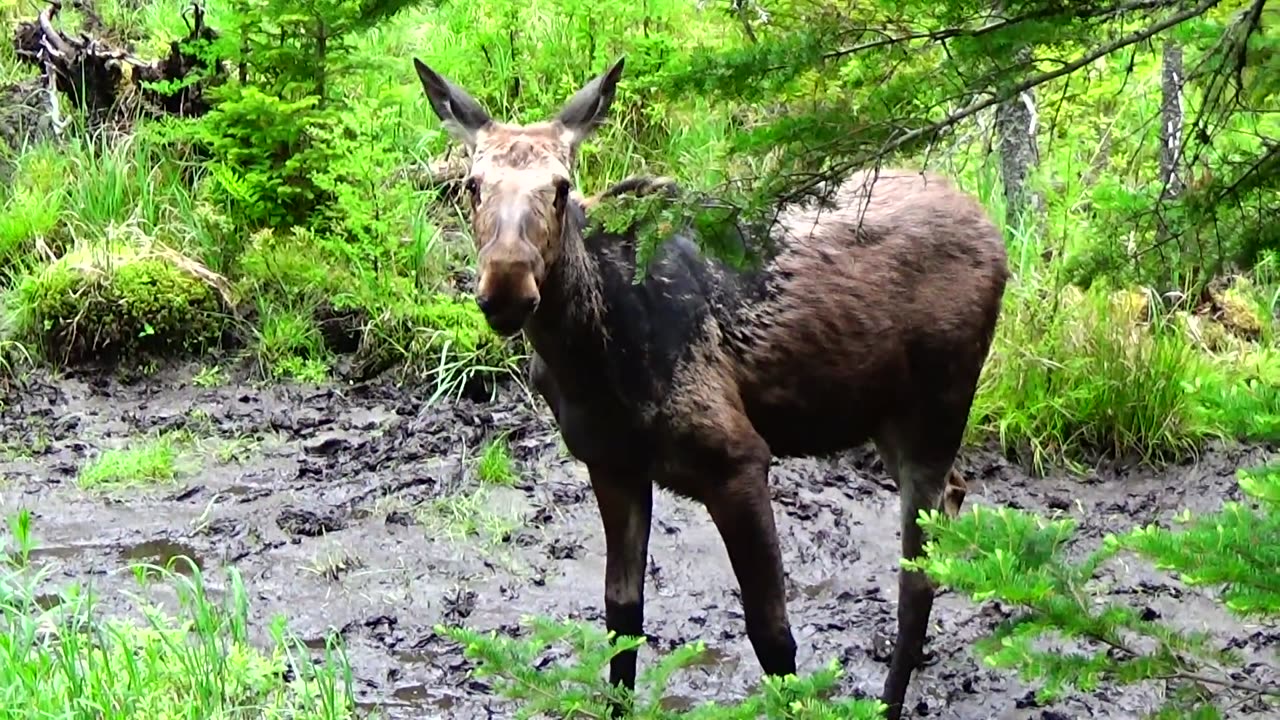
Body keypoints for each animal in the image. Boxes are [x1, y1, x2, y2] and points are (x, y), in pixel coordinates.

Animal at [414, 53, 1013, 712]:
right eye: (472, 185)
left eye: (562, 187)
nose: (507, 287)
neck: (590, 358)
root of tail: (996, 231)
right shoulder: (611, 463)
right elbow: (622, 618)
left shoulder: (737, 460)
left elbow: (773, 637)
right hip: (886, 415)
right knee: (954, 498)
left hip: (938, 407)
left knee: (916, 580)